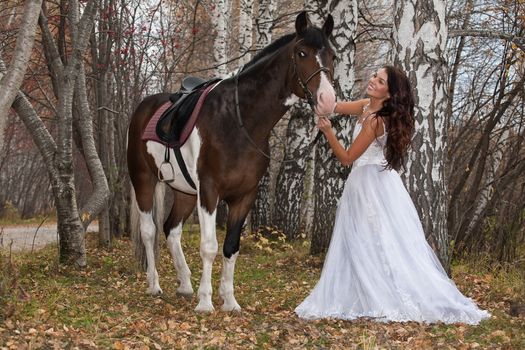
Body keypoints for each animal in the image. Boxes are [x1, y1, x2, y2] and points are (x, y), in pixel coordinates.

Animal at [128, 11, 336, 312]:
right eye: (302, 52)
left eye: (332, 55)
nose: (328, 100)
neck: (238, 121)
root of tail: (143, 109)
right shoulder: (210, 192)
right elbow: (209, 247)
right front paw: (205, 302)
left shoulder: (244, 196)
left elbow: (231, 247)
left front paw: (229, 300)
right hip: (144, 181)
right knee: (149, 231)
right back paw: (154, 285)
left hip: (185, 192)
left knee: (171, 230)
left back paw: (185, 284)